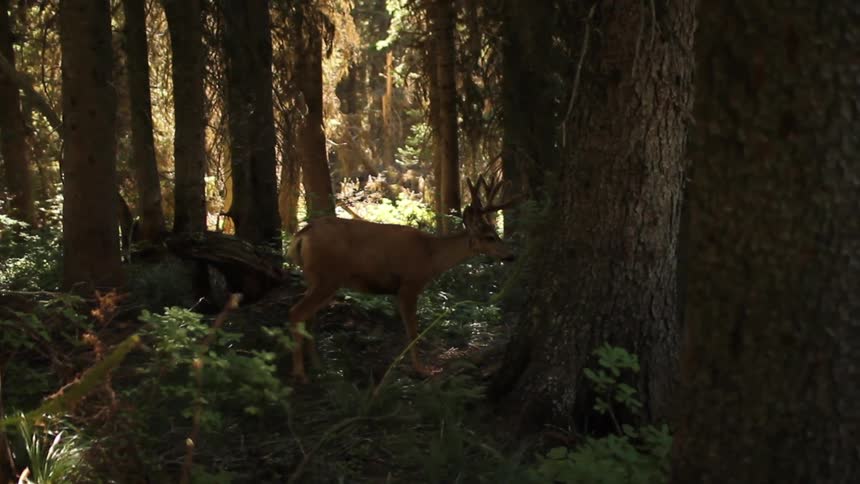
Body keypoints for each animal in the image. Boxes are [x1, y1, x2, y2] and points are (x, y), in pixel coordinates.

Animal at [286, 174, 519, 383]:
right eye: (490, 237)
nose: (511, 255)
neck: (431, 256)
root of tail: (301, 235)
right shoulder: (409, 285)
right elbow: (413, 331)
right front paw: (422, 370)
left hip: (317, 279)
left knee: (309, 317)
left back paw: (318, 367)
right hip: (327, 278)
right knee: (296, 312)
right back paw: (300, 374)